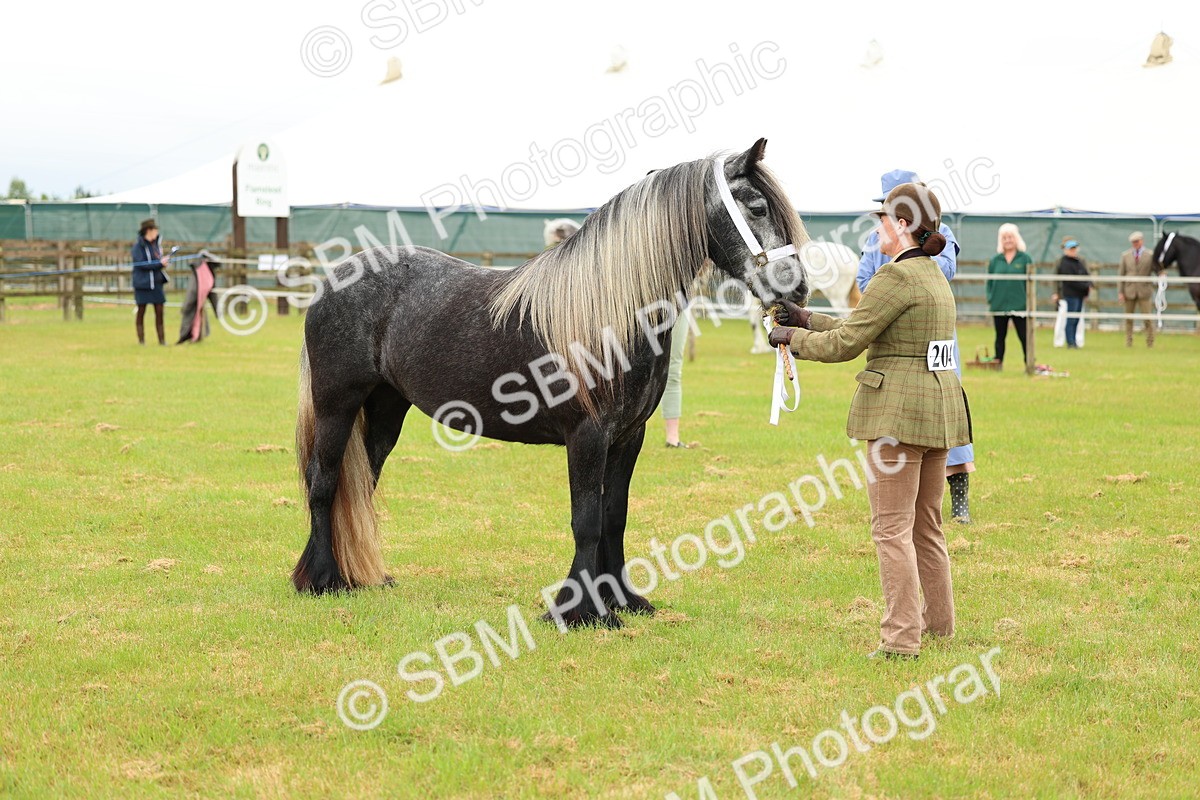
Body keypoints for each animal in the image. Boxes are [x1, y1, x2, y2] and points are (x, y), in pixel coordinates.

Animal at [292, 138, 810, 628]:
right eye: (757, 207)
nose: (799, 288)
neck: (611, 309)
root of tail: (336, 277)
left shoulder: (629, 437)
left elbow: (614, 517)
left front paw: (623, 600)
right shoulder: (588, 436)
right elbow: (587, 521)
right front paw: (580, 612)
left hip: (384, 410)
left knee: (360, 485)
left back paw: (359, 575)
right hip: (337, 405)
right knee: (324, 482)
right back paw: (323, 580)